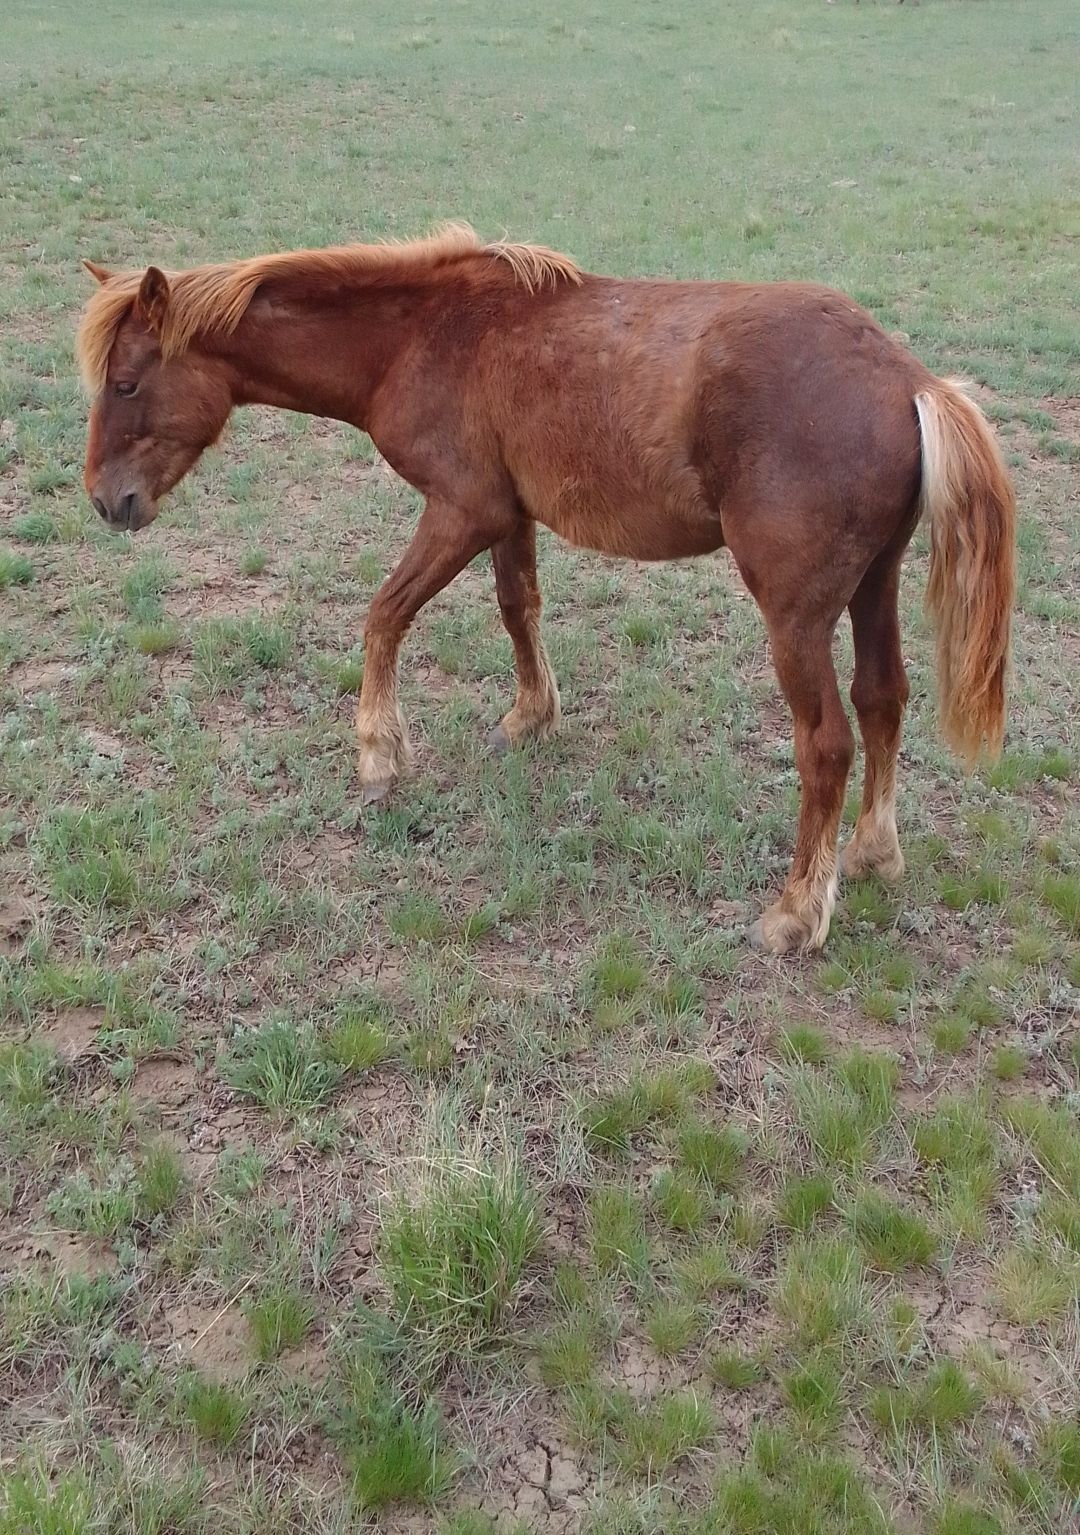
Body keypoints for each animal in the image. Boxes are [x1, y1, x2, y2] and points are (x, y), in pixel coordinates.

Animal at [78, 224, 1012, 951]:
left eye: (126, 382)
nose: (105, 500)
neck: (426, 335)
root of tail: (908, 380)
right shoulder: (508, 514)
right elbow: (516, 606)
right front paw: (530, 716)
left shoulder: (461, 510)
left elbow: (383, 615)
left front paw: (379, 752)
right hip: (874, 586)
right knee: (882, 701)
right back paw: (874, 853)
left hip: (796, 616)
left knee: (826, 744)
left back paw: (794, 914)